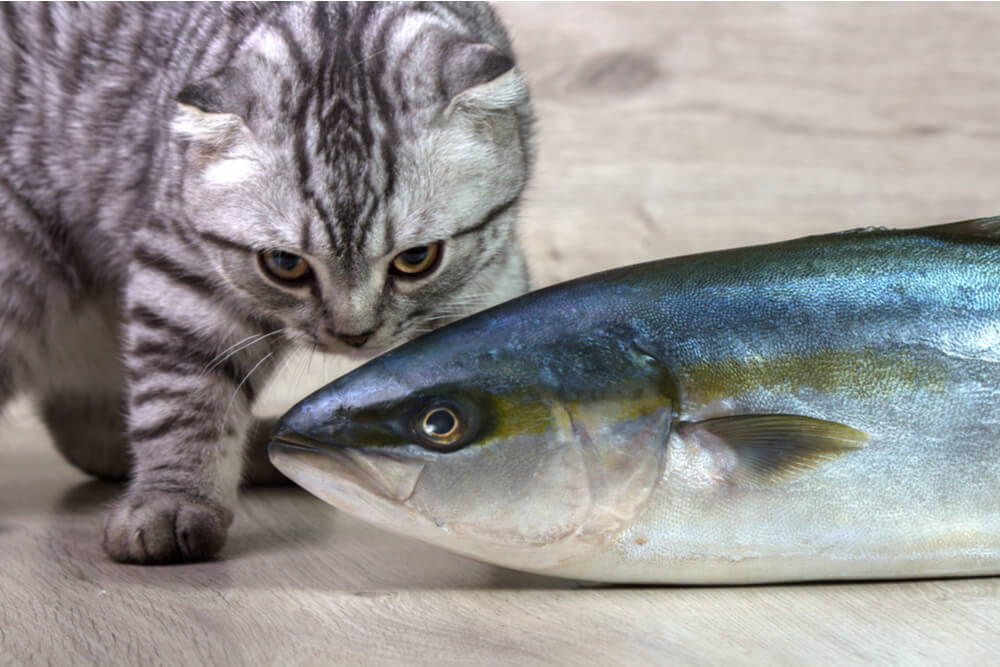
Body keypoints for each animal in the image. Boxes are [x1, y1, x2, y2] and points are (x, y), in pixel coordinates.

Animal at [0, 1, 536, 564]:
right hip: (20, 272)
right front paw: (171, 500)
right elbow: (182, 402)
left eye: (416, 258)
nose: (353, 335)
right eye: (284, 264)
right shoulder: (182, 281)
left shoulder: (492, 275)